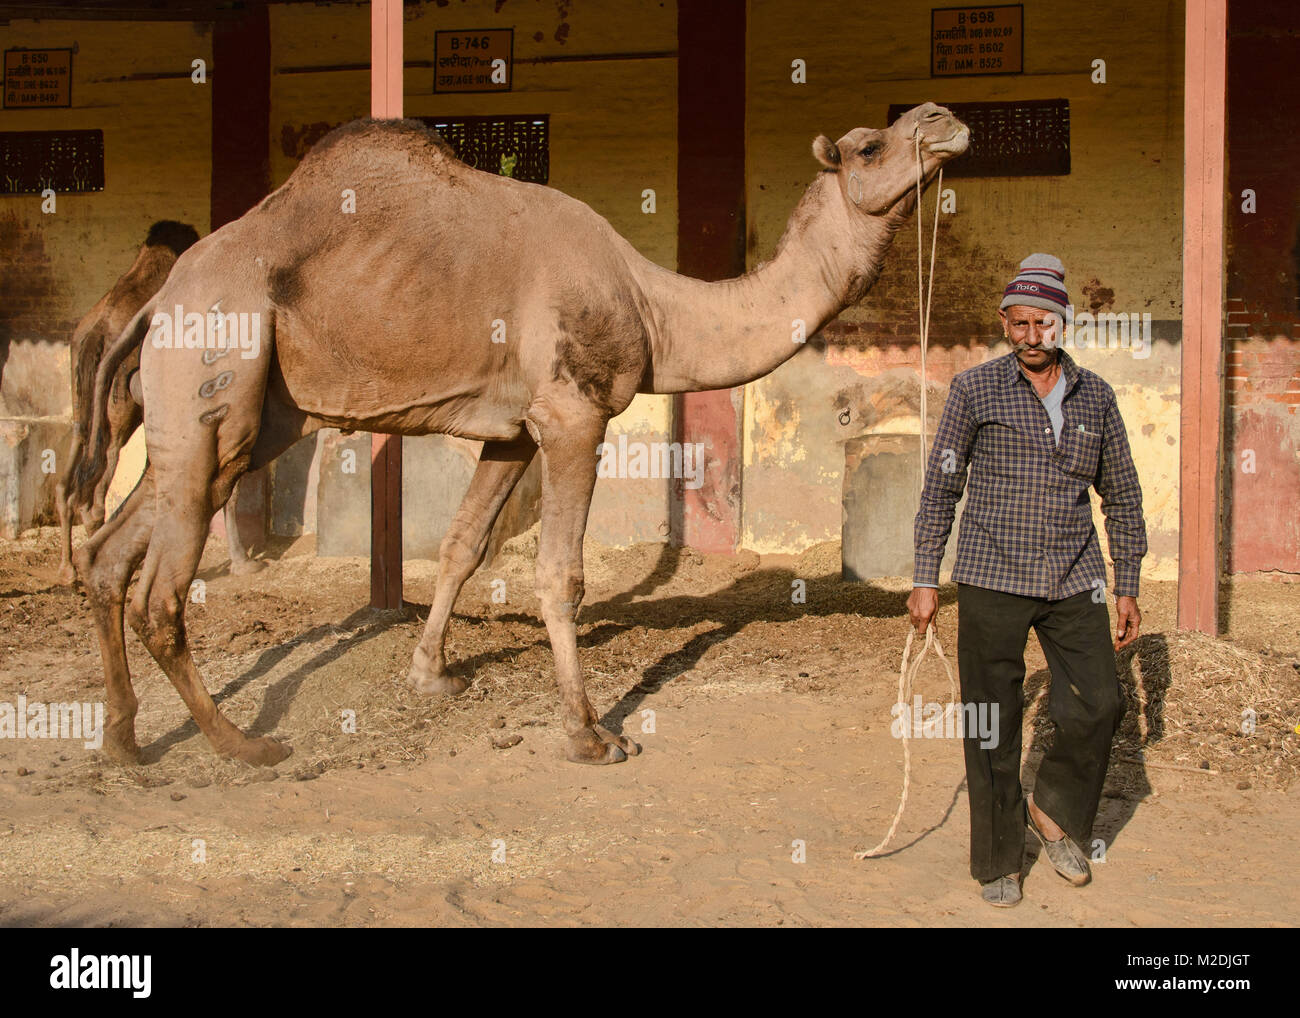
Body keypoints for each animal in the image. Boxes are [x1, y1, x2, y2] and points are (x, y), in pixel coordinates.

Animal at [56, 221, 263, 584]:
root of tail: (94, 334)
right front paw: (242, 562)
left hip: (84, 400)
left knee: (73, 465)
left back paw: (70, 568)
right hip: (118, 413)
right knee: (99, 484)